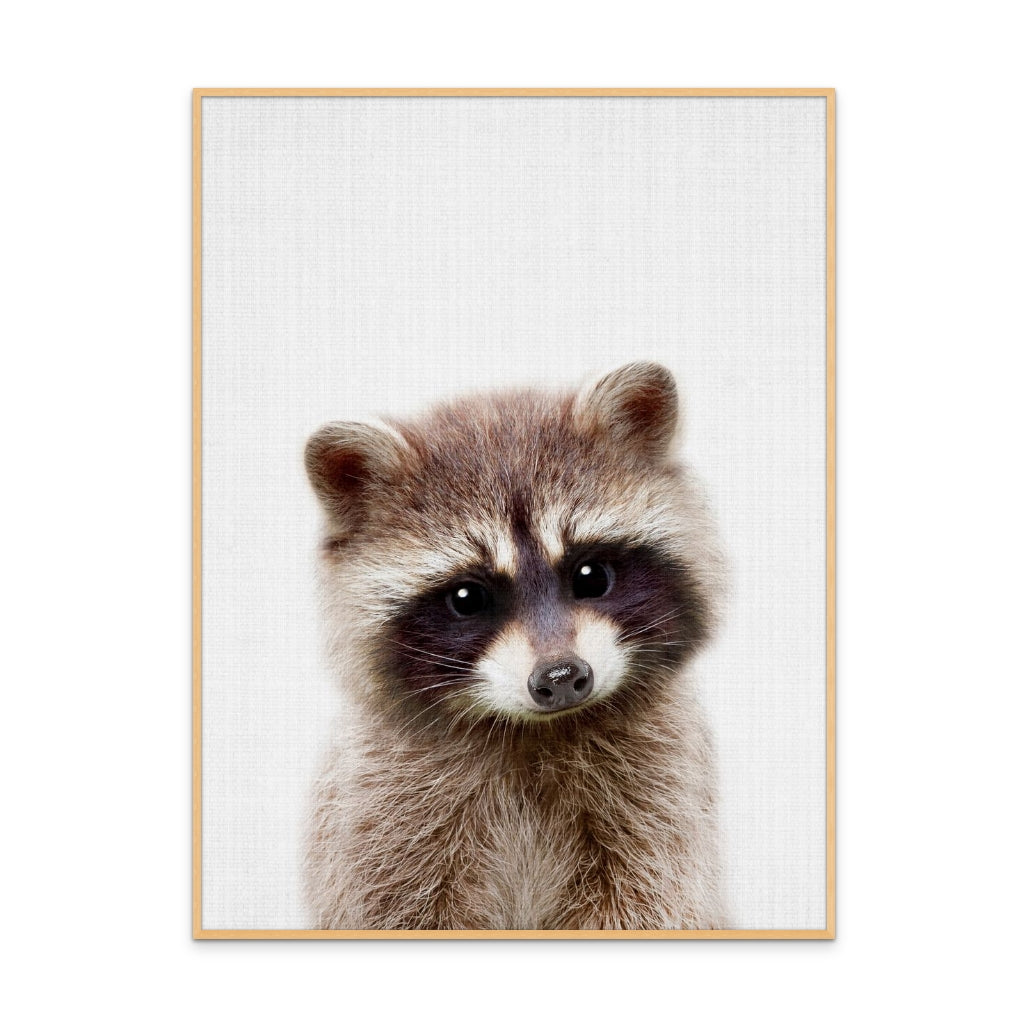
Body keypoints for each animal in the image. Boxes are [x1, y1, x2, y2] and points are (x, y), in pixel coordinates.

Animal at [303, 362, 727, 930]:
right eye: (467, 598)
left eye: (591, 575)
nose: (561, 678)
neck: (532, 732)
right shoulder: (380, 812)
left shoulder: (661, 796)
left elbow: (648, 900)